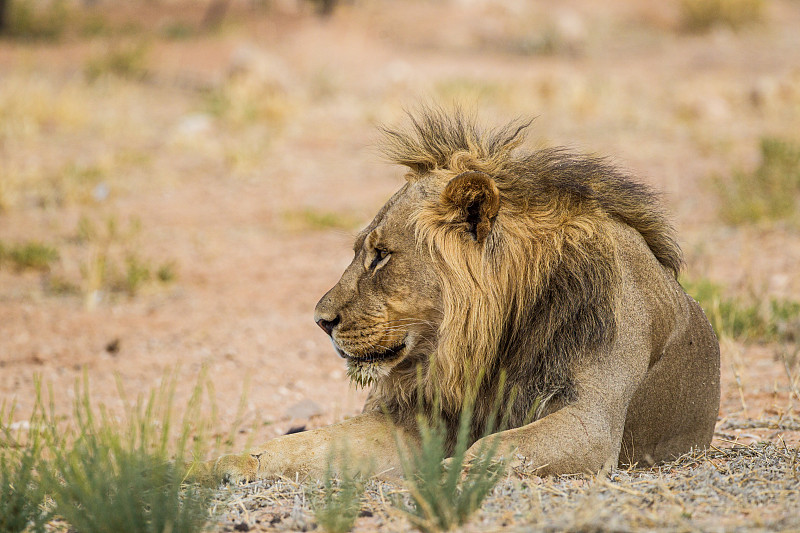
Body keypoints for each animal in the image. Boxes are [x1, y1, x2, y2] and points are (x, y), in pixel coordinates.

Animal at [209, 108, 720, 482]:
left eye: (381, 256)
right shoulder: (413, 420)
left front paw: (455, 470)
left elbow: (502, 444)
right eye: (360, 252)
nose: (321, 320)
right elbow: (311, 442)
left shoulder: (592, 423)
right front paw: (232, 462)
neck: (481, 345)